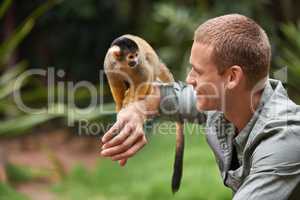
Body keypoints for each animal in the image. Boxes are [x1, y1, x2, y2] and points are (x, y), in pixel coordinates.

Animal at [104, 34, 184, 194]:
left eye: (136, 55)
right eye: (130, 56)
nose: (135, 60)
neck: (123, 65)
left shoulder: (139, 66)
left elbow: (144, 75)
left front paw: (134, 100)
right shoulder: (109, 64)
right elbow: (115, 84)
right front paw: (119, 104)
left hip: (153, 65)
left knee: (149, 68)